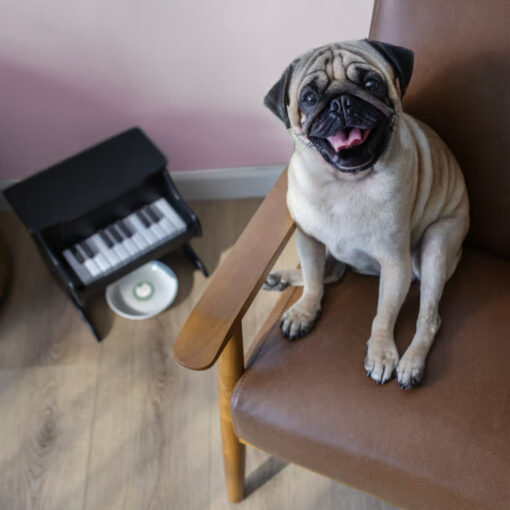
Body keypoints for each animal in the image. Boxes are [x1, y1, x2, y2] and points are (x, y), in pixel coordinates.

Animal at [262, 39, 470, 388]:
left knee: (429, 318)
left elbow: (384, 314)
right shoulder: (308, 239)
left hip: (437, 244)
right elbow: (314, 281)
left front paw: (382, 354)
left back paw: (411, 363)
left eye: (371, 84)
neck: (343, 183)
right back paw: (281, 280)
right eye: (309, 98)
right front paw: (305, 311)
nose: (341, 102)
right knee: (329, 274)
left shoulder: (394, 264)